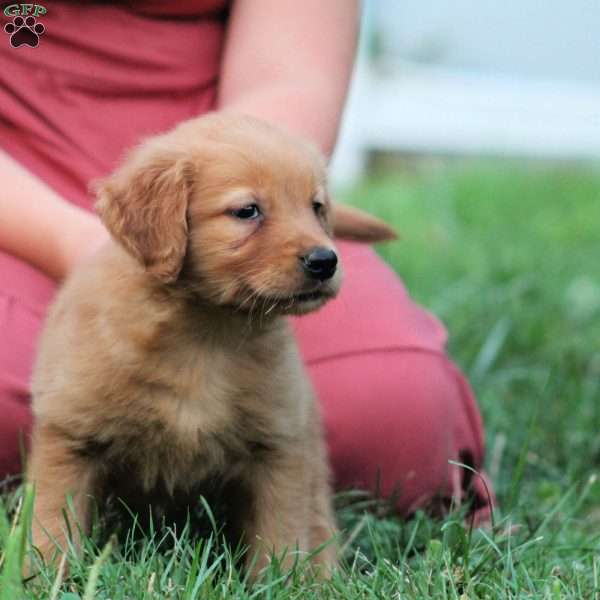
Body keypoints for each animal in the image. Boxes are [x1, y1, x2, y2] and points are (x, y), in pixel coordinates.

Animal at [25, 112, 396, 576]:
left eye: (316, 207)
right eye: (247, 211)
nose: (325, 261)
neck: (206, 334)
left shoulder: (277, 449)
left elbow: (281, 534)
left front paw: (284, 583)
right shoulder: (70, 437)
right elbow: (52, 524)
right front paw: (43, 579)